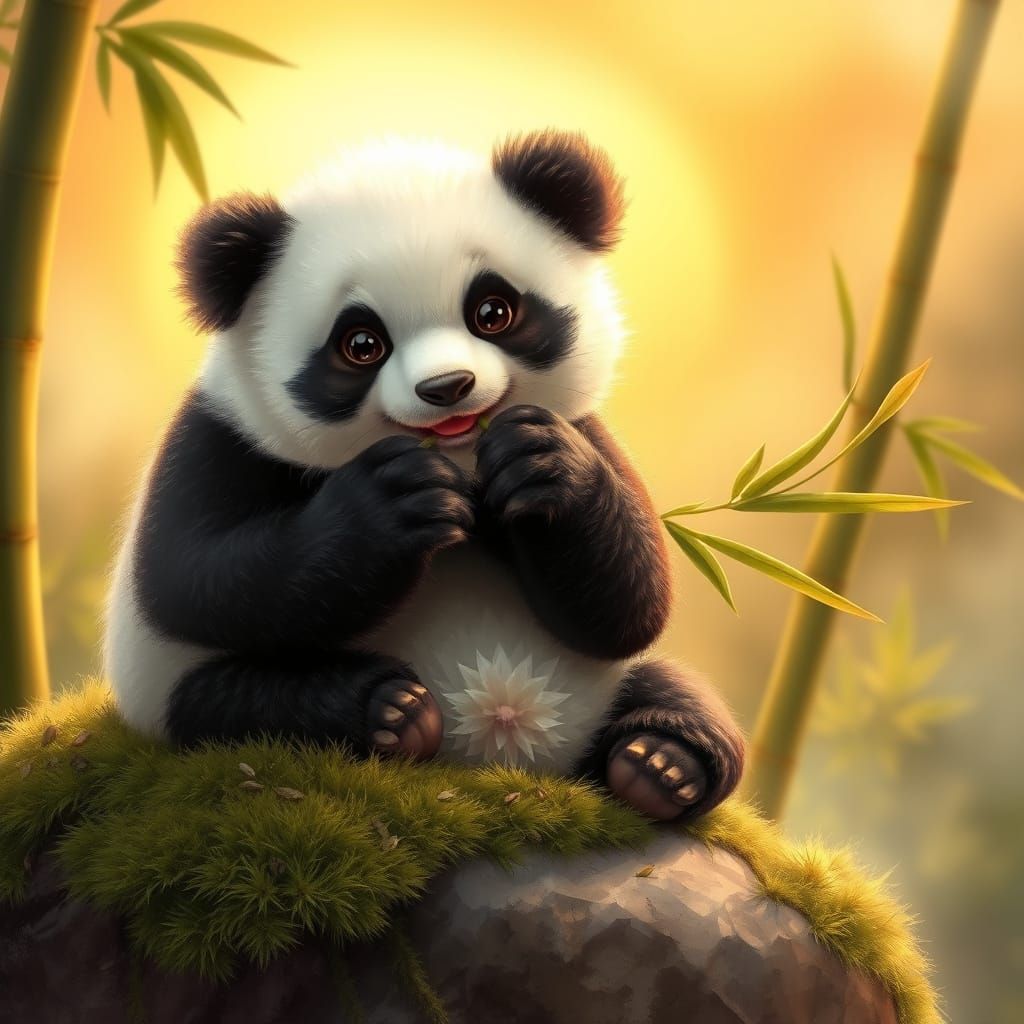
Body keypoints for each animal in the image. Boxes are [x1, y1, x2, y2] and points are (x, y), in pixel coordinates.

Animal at [104, 130, 745, 822]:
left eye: (493, 311)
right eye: (361, 344)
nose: (448, 387)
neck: (460, 462)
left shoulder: (584, 429)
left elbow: (629, 605)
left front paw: (542, 466)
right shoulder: (221, 436)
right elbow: (189, 577)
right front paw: (392, 506)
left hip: (614, 689)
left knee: (671, 687)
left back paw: (661, 762)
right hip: (175, 694)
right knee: (237, 708)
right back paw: (388, 712)